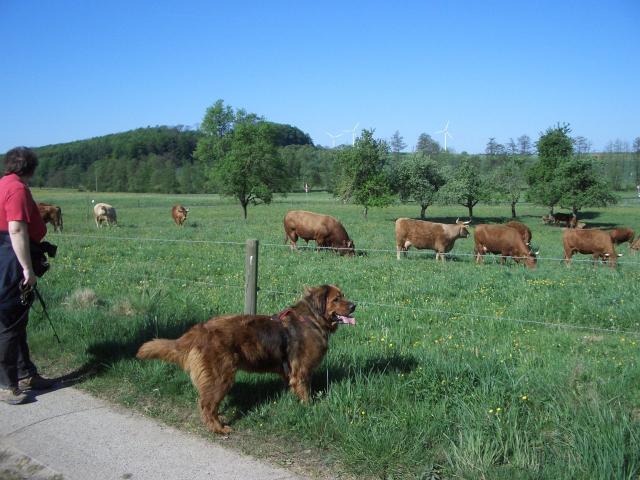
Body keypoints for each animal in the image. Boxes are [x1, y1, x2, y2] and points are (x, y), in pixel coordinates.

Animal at [136, 284, 356, 436]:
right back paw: (219, 429)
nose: (354, 306)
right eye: (337, 299)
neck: (312, 319)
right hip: (221, 377)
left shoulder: (291, 373)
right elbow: (305, 394)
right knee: (207, 405)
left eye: (343, 295)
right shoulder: (302, 371)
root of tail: (199, 330)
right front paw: (309, 409)